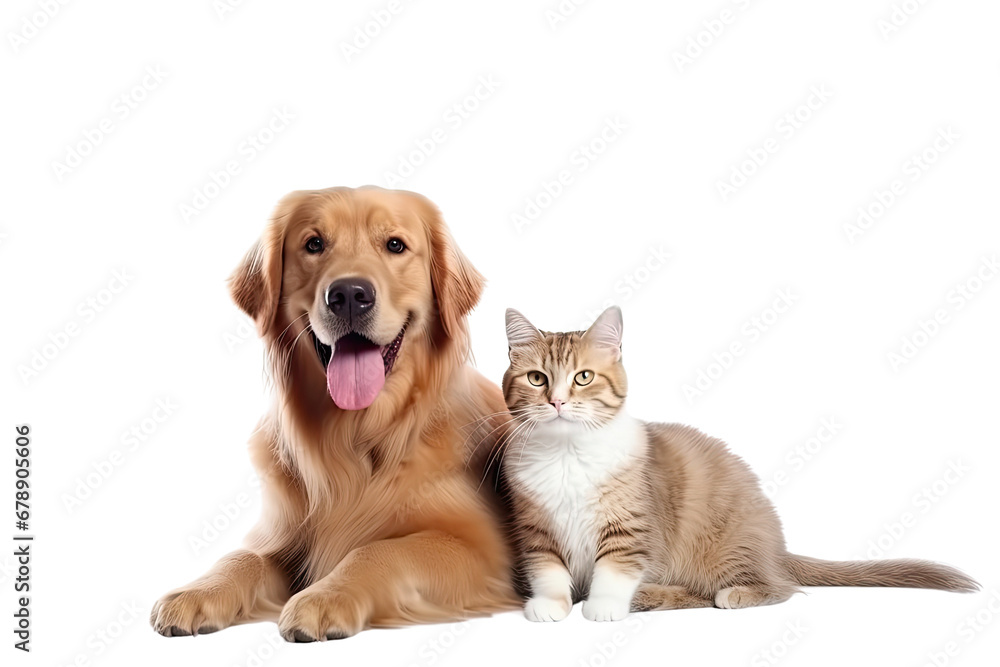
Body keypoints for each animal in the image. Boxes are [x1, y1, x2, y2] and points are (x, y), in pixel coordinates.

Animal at [154, 187, 524, 640]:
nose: (349, 295)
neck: (356, 433)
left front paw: (326, 597)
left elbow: (380, 549)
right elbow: (243, 556)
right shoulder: (281, 533)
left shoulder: (483, 551)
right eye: (314, 244)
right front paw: (199, 590)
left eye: (395, 245)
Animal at [500, 306, 976, 624]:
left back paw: (723, 595)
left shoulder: (631, 526)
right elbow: (548, 570)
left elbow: (615, 569)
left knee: (776, 588)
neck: (567, 454)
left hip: (722, 547)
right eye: (537, 379)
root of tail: (776, 547)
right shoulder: (536, 528)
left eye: (583, 377)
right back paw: (654, 596)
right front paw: (552, 606)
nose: (557, 402)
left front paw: (603, 607)